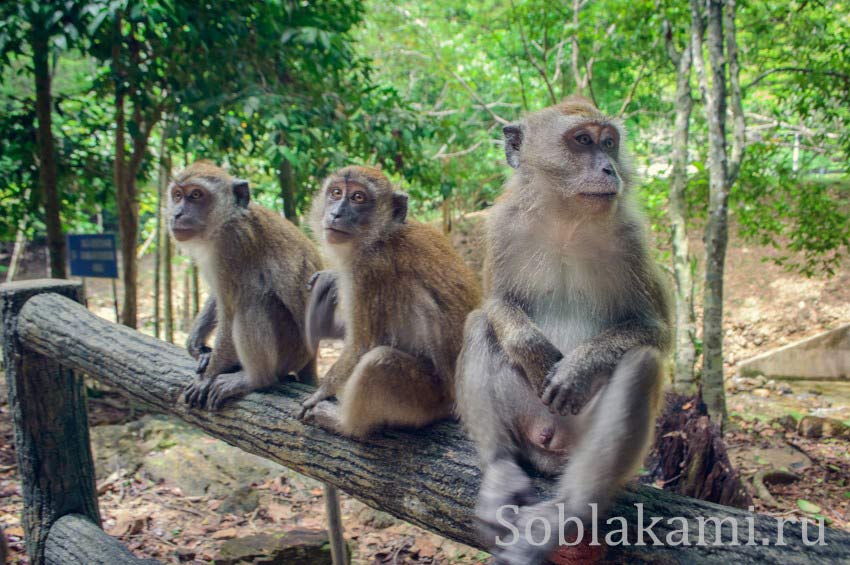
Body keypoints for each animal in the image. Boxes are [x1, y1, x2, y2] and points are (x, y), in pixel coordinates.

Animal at [169, 159, 322, 410]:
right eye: (177, 195)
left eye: (196, 195)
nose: (177, 214)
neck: (225, 221)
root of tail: (311, 358)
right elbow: (219, 297)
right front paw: (196, 345)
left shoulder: (233, 246)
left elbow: (230, 310)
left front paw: (208, 376)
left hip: (293, 350)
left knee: (253, 300)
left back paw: (257, 379)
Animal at [298, 165, 476, 438]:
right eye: (336, 193)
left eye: (358, 198)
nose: (336, 213)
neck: (381, 236)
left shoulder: (370, 270)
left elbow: (362, 346)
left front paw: (321, 392)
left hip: (428, 399)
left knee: (379, 362)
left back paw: (345, 425)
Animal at [454, 94, 672, 560]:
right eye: (582, 141)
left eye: (609, 143)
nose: (609, 169)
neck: (566, 220)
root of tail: (550, 446)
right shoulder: (502, 226)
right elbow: (496, 303)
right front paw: (532, 348)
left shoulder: (633, 240)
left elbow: (656, 332)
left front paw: (579, 368)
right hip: (527, 416)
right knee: (480, 325)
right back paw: (500, 471)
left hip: (579, 436)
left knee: (641, 364)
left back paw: (566, 510)